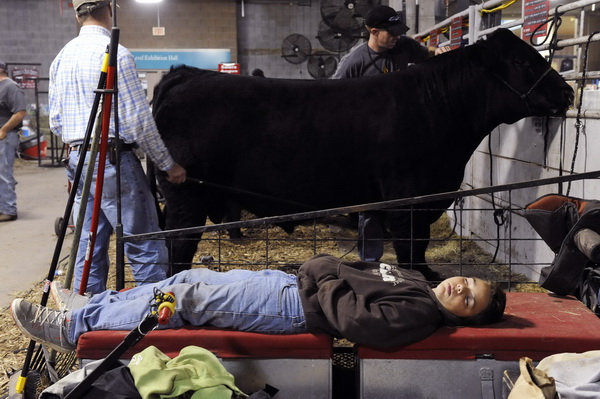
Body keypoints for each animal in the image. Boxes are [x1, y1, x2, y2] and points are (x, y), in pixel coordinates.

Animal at [152, 28, 576, 278]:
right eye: (520, 60)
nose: (568, 92)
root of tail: (185, 72)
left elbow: (418, 246)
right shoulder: (409, 198)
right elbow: (411, 247)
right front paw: (424, 279)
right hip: (186, 196)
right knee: (179, 244)